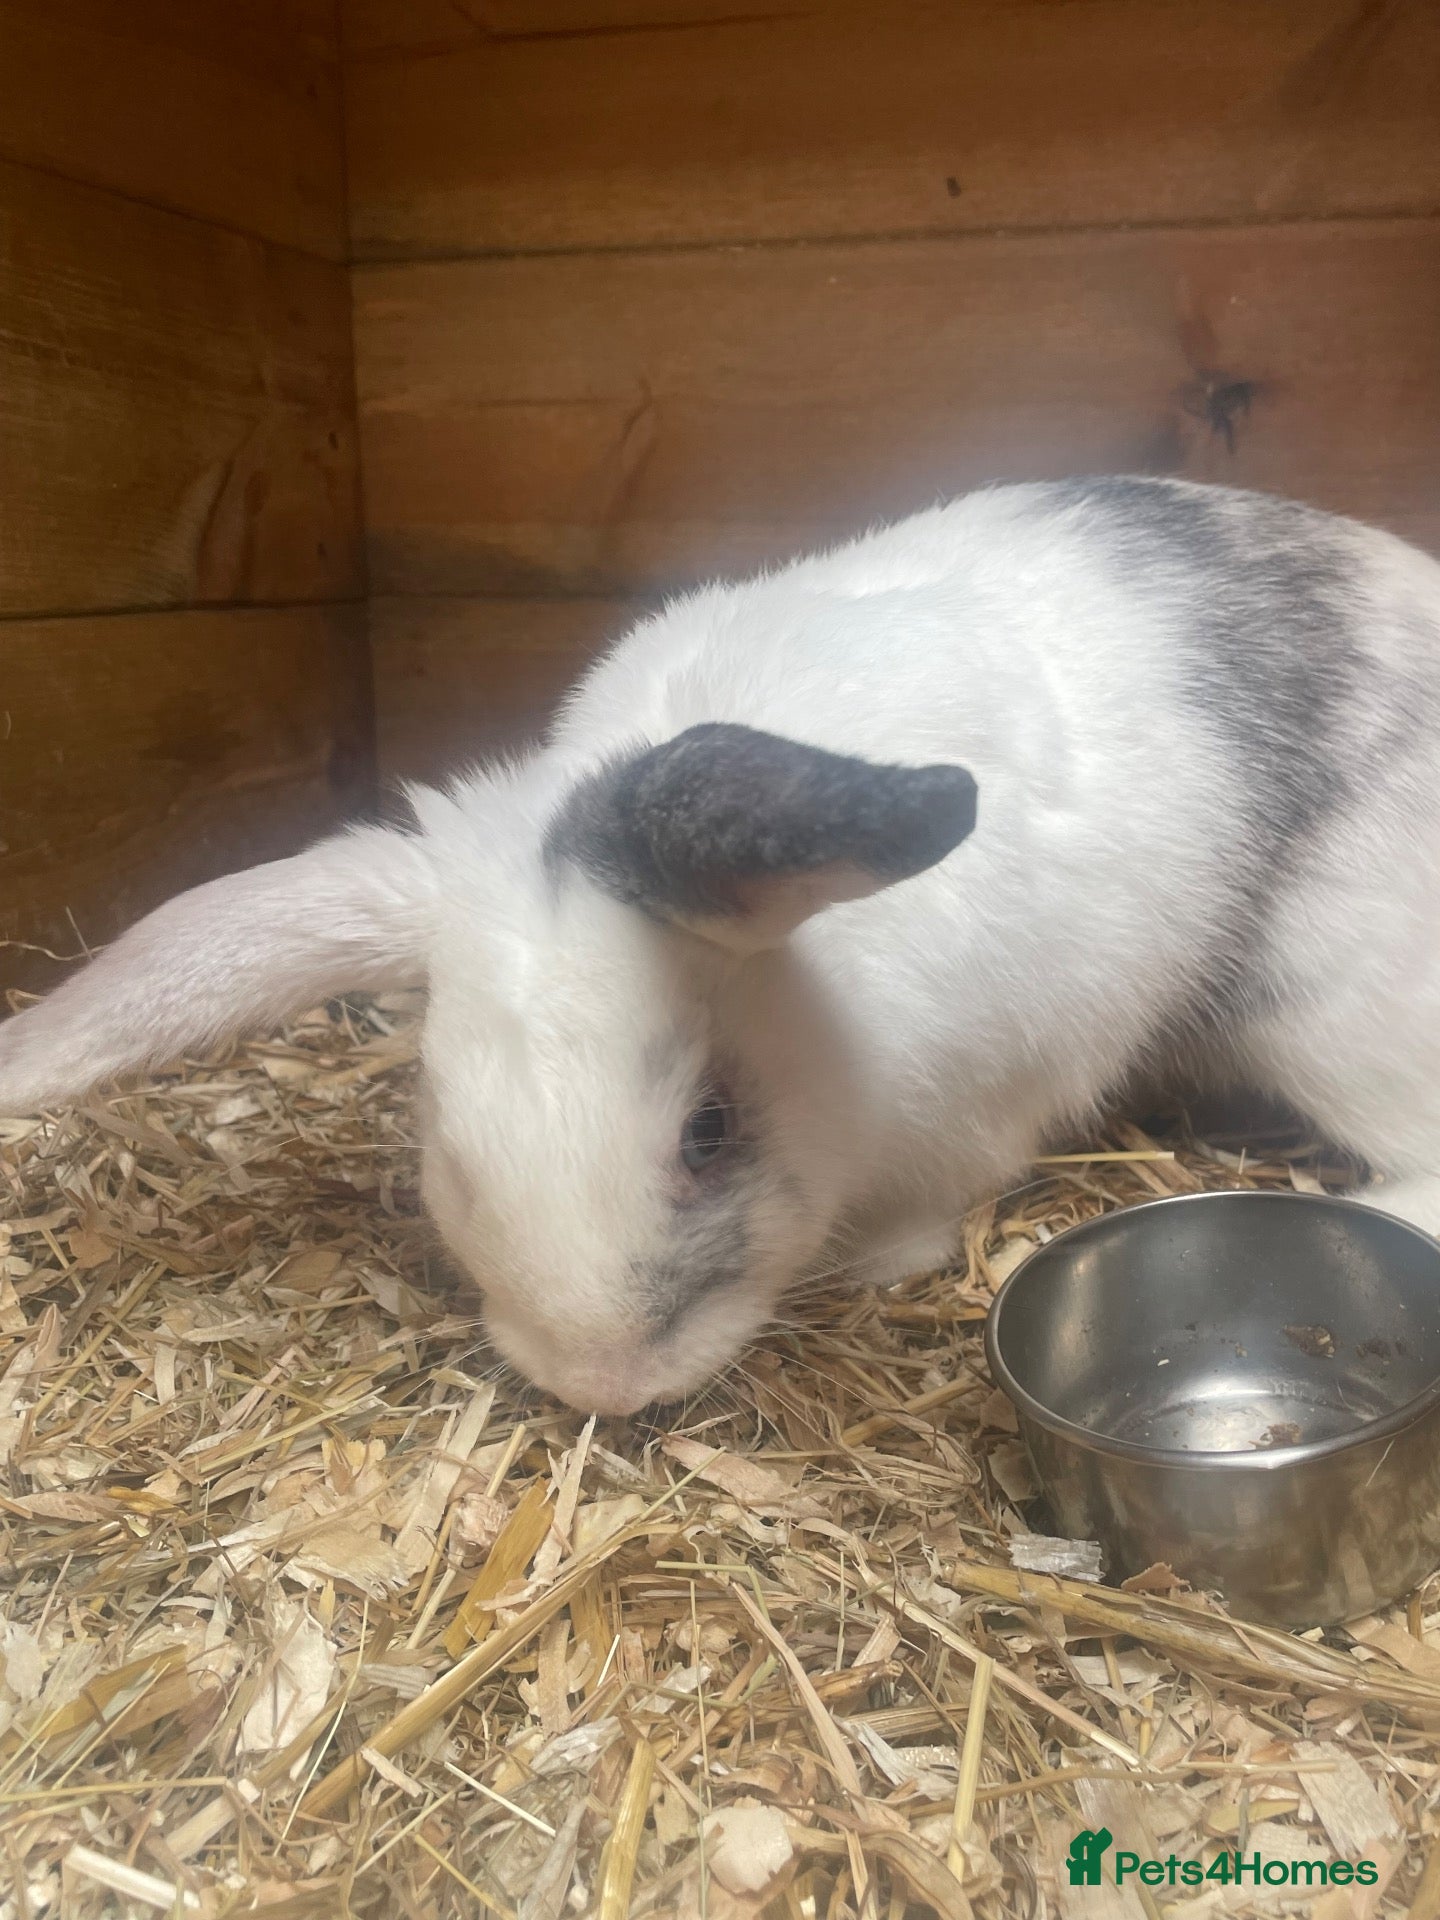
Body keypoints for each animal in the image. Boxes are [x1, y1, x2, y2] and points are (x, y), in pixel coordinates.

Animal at [6, 473, 1440, 1415]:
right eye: (445, 1142)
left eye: (710, 1132)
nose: (602, 1381)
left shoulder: (1000, 1094)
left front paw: (879, 1263)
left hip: (1334, 1011)